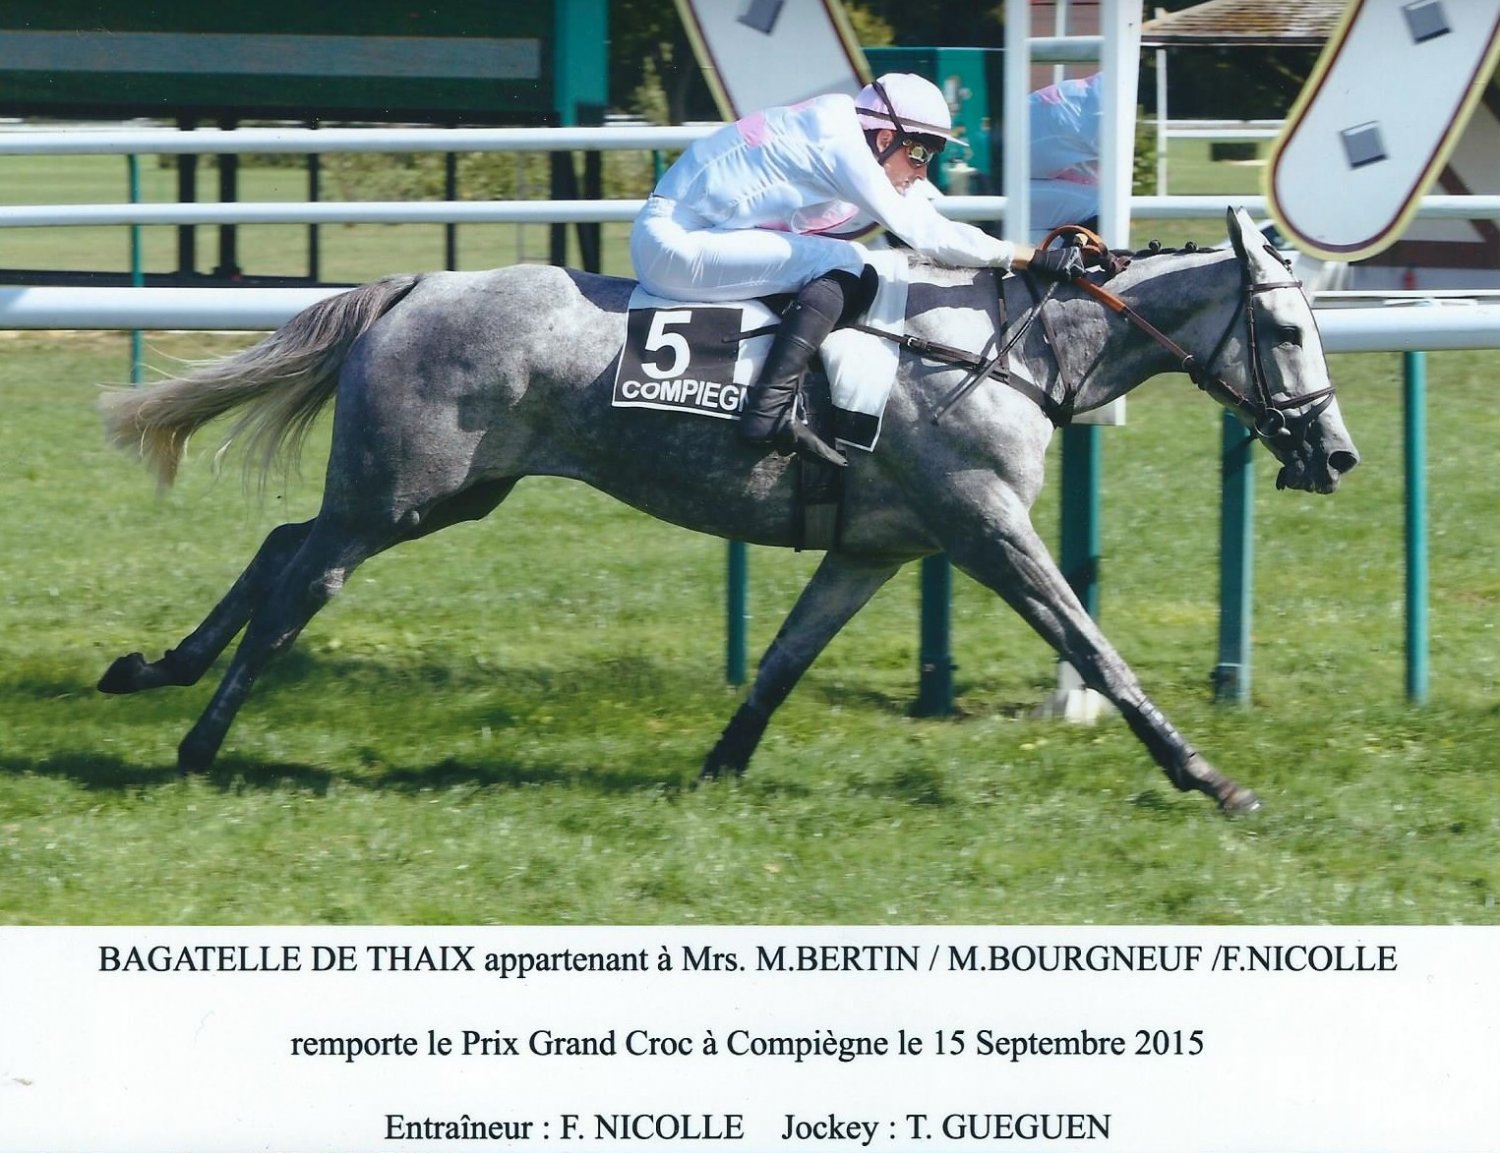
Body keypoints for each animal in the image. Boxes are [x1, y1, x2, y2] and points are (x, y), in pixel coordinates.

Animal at [97, 207, 1359, 813]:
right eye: (1283, 328)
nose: (1337, 453)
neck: (1006, 349)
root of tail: (417, 285)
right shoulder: (985, 526)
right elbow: (1097, 650)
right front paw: (1210, 778)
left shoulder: (877, 550)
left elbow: (786, 659)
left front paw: (717, 767)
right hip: (403, 489)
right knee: (300, 585)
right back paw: (199, 736)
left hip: (442, 493)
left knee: (281, 544)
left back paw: (154, 665)